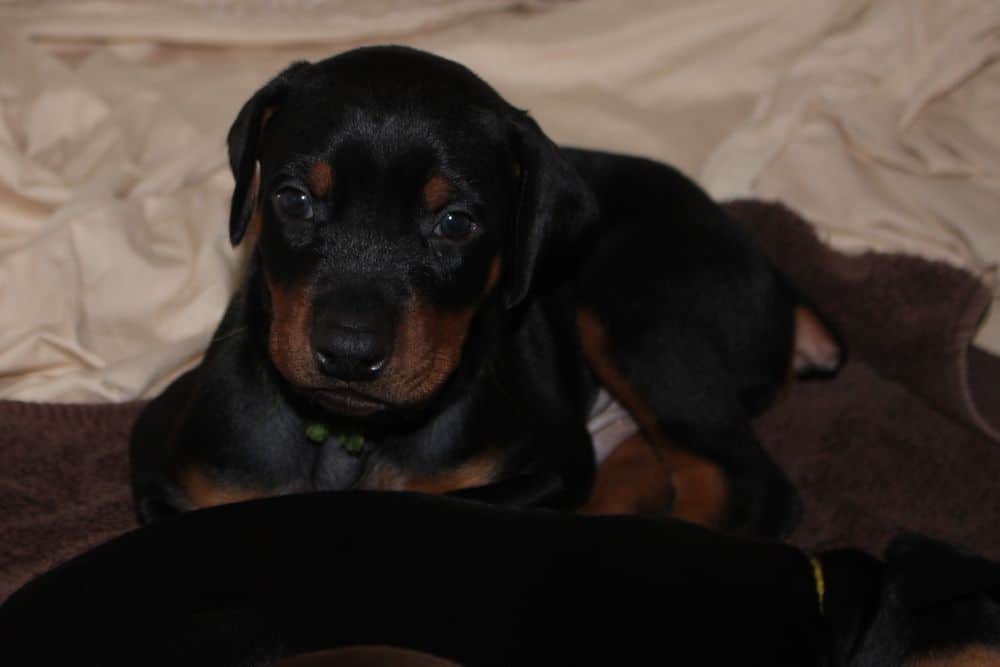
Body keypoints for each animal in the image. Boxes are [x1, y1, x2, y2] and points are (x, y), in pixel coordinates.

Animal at [129, 45, 840, 536]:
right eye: (294, 200)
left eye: (456, 224)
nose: (349, 354)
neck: (353, 436)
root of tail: (778, 282)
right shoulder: (166, 467)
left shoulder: (551, 463)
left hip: (640, 304)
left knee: (746, 487)